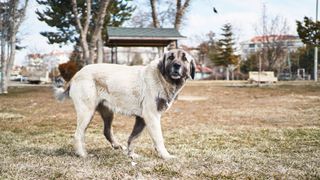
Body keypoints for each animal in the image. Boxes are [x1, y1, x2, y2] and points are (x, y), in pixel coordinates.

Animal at [54, 48, 195, 160]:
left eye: (184, 59)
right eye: (171, 57)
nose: (176, 65)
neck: (162, 77)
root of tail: (76, 75)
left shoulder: (141, 119)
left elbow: (133, 137)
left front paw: (131, 154)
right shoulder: (151, 116)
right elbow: (158, 138)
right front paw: (166, 155)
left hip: (107, 112)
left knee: (106, 131)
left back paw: (116, 145)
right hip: (87, 112)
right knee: (78, 134)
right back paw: (82, 154)